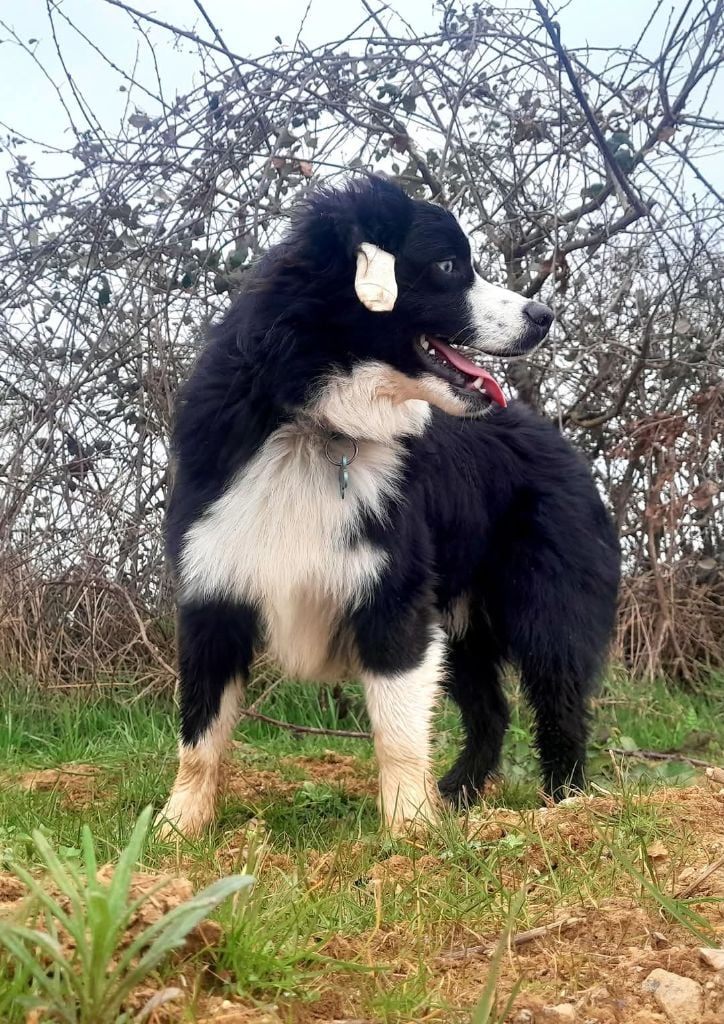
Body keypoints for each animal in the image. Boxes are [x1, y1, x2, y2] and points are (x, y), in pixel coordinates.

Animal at [161, 176, 618, 831]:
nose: (544, 316)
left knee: (560, 702)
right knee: (492, 711)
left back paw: (565, 809)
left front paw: (410, 834)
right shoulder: (212, 586)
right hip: (464, 624)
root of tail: (561, 443)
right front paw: (175, 832)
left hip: (547, 604)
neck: (315, 425)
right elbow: (199, 732)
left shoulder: (393, 596)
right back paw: (459, 794)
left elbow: (398, 732)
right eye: (449, 266)